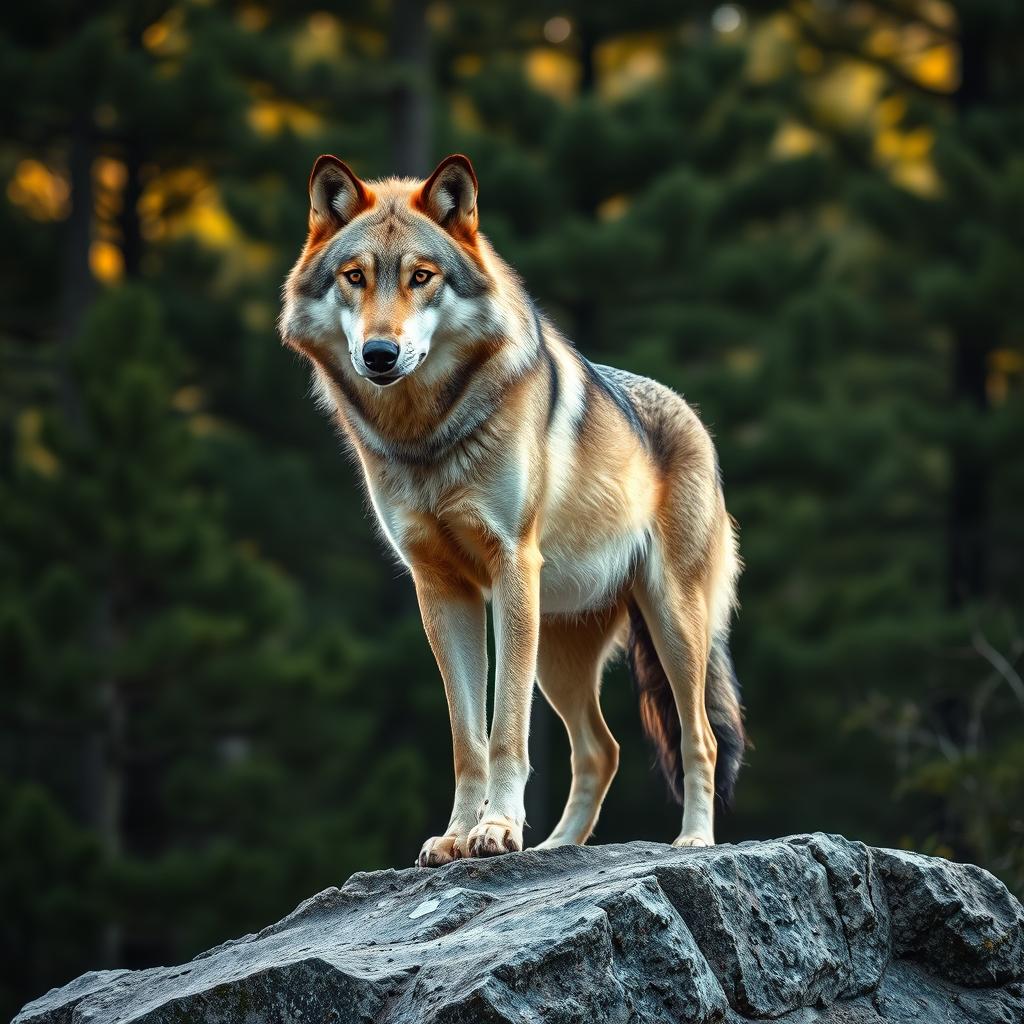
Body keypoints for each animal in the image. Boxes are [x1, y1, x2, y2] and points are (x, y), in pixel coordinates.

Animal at [279, 153, 746, 865]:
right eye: (354, 277)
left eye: (421, 277)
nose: (380, 354)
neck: (428, 436)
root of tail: (694, 418)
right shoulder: (440, 589)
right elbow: (466, 738)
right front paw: (457, 836)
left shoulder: (510, 568)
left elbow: (505, 733)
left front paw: (496, 830)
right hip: (559, 653)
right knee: (602, 750)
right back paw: (555, 846)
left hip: (671, 623)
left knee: (701, 738)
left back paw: (692, 840)